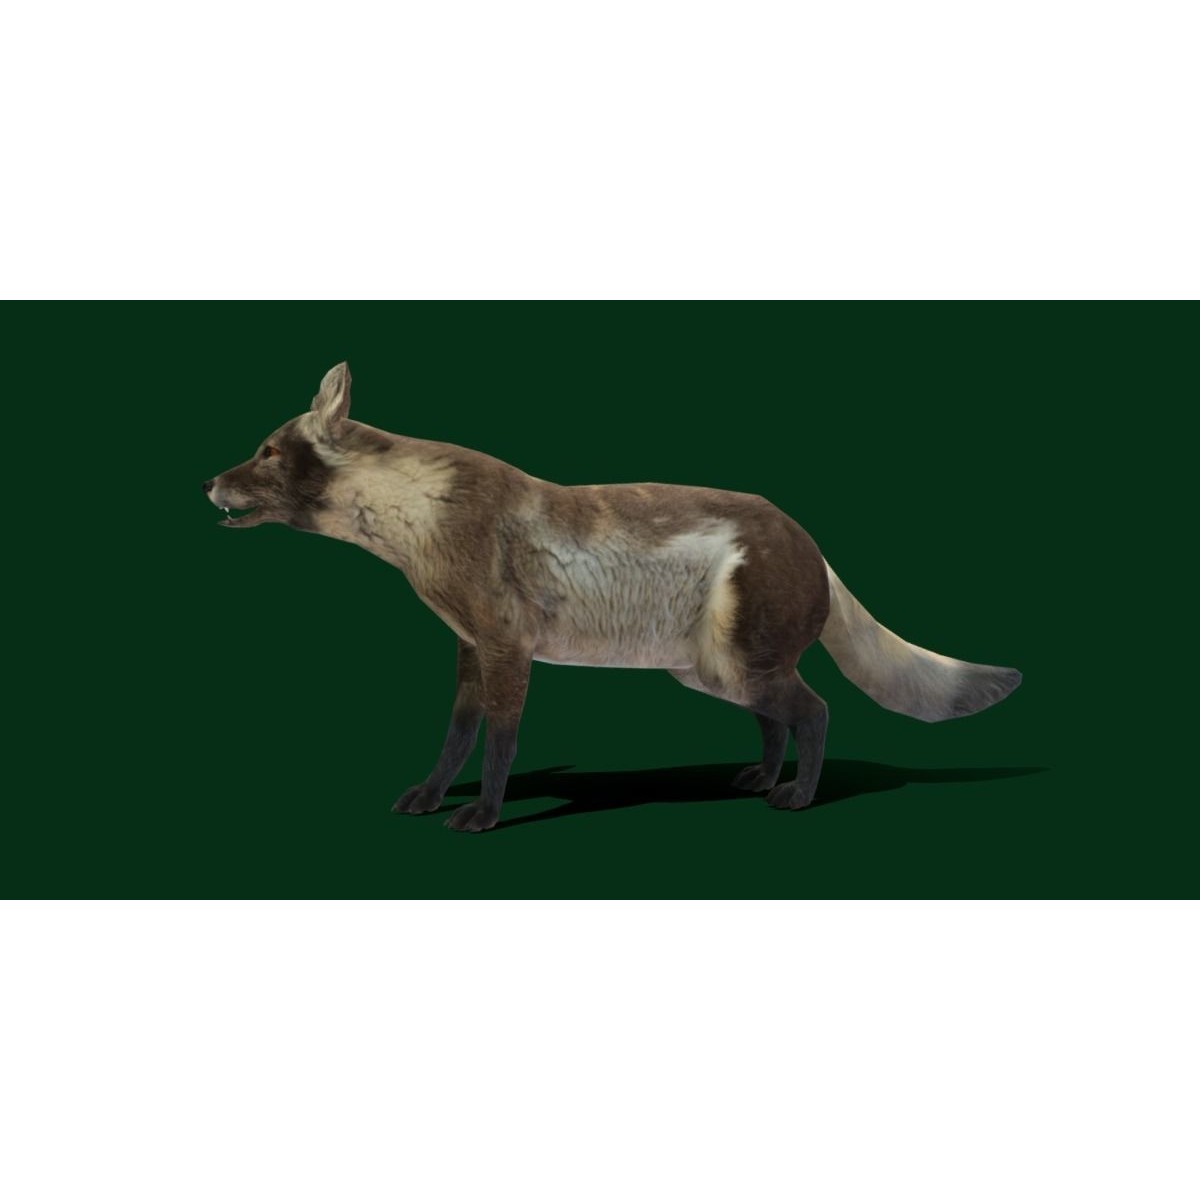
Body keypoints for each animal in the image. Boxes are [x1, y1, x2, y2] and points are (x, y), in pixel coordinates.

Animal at [204, 362, 1021, 832]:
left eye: (266, 453)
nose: (207, 481)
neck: (422, 519)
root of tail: (811, 542)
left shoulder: (508, 649)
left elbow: (499, 744)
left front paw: (484, 815)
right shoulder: (469, 648)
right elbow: (456, 738)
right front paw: (431, 798)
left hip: (735, 666)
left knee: (815, 711)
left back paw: (793, 797)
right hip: (712, 672)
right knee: (778, 721)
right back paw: (761, 779)